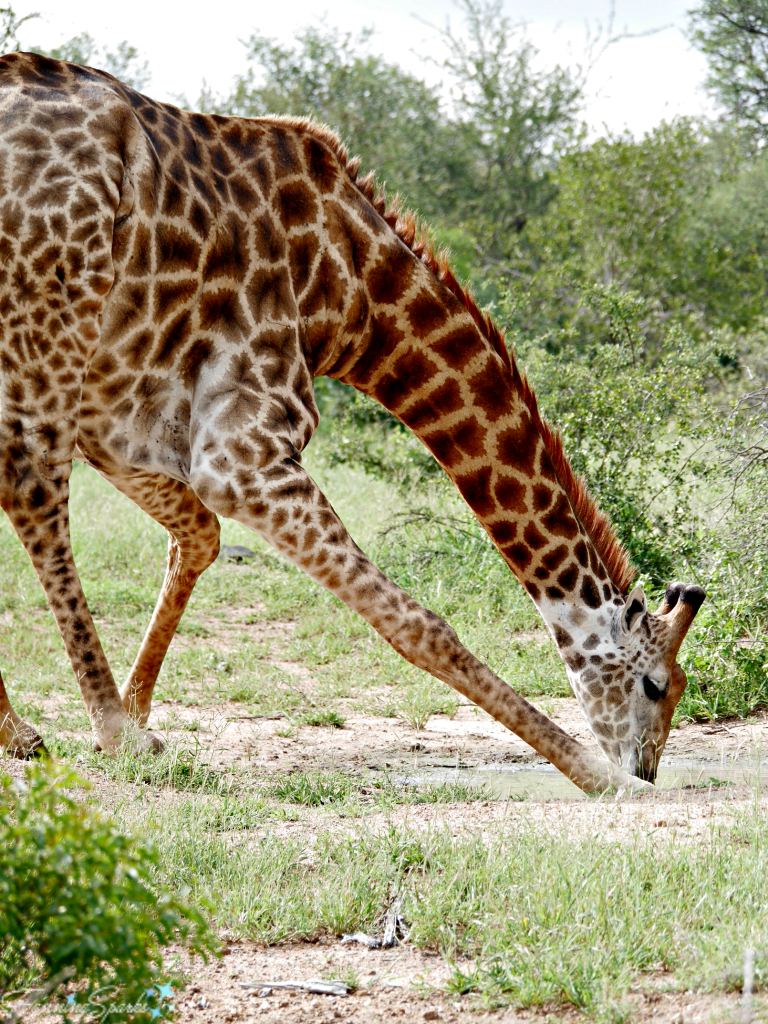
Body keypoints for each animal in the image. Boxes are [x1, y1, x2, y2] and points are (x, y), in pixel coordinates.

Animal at [0, 54, 708, 790]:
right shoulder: (239, 450)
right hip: (52, 315)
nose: (647, 768)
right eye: (658, 684)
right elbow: (417, 623)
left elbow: (198, 536)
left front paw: (136, 709)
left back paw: (31, 733)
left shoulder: (122, 424)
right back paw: (107, 734)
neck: (350, 291)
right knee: (32, 485)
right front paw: (602, 780)